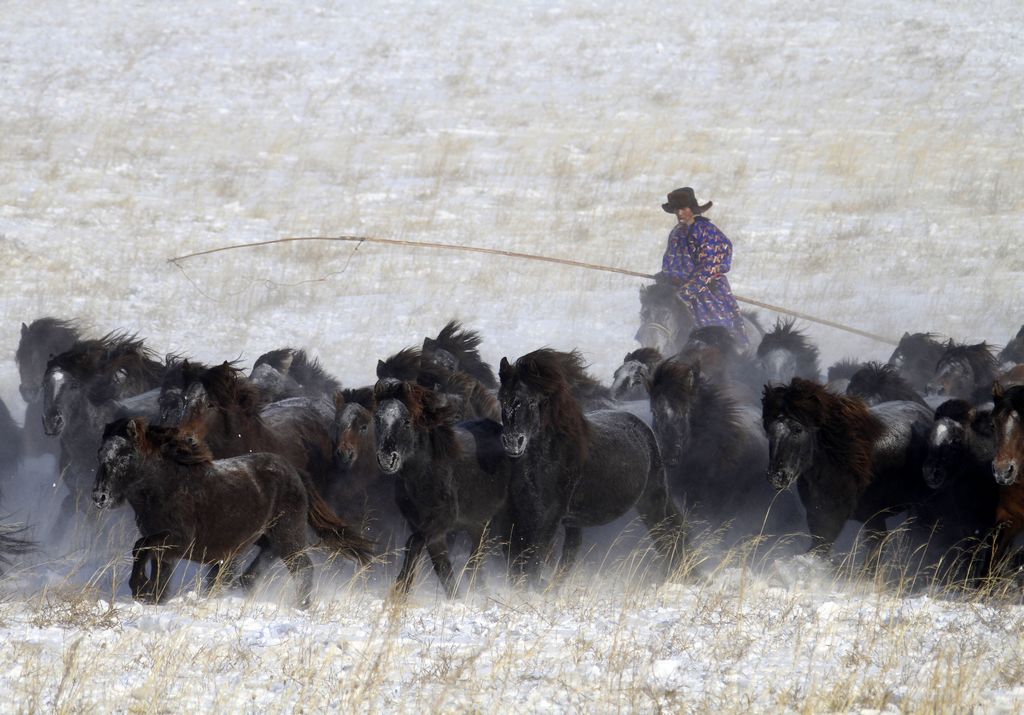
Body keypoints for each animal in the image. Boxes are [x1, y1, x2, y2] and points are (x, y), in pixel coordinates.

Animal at [92, 417, 372, 606]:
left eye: (124, 456)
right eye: (100, 452)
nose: (99, 497)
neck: (165, 486)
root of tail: (295, 473)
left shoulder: (177, 540)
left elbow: (141, 547)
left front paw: (140, 589)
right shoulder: (165, 547)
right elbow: (154, 565)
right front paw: (151, 595)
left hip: (288, 533)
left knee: (302, 568)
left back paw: (300, 605)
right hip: (266, 536)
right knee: (261, 561)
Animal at [370, 379, 509, 594]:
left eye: (406, 421)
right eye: (377, 419)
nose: (387, 459)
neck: (423, 476)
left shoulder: (440, 523)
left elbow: (414, 544)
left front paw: (398, 592)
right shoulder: (421, 525)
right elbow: (442, 568)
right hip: (478, 523)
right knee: (474, 565)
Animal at [497, 348, 684, 581]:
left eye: (532, 401)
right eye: (501, 399)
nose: (513, 442)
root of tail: (642, 426)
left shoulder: (548, 517)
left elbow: (534, 560)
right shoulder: (521, 516)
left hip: (652, 501)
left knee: (667, 538)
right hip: (575, 523)